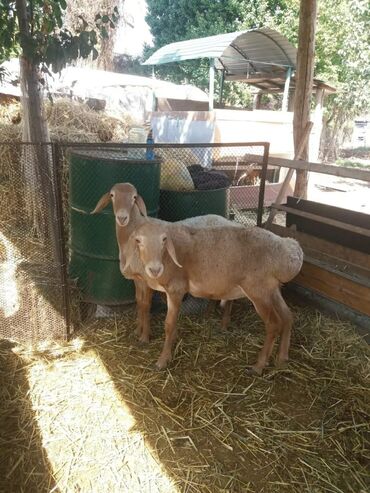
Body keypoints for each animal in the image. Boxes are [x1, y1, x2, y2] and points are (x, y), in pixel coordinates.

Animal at [92, 182, 243, 342]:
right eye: (112, 195)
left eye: (134, 197)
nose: (122, 218)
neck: (133, 230)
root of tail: (234, 223)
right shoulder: (138, 278)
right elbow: (139, 302)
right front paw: (137, 331)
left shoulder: (148, 279)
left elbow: (146, 305)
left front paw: (144, 337)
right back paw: (208, 314)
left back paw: (224, 324)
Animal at [123, 220, 304, 372]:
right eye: (138, 241)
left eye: (164, 239)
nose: (155, 269)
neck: (167, 258)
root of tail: (289, 249)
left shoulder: (176, 289)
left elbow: (169, 324)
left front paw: (162, 360)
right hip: (272, 290)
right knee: (287, 316)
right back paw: (282, 359)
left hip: (258, 290)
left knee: (273, 324)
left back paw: (258, 366)